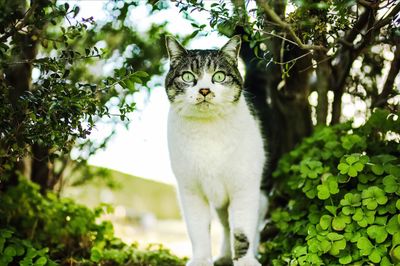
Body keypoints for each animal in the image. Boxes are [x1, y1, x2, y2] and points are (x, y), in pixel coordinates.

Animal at [164, 35, 268, 266]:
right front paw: (201, 260)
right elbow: (198, 230)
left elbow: (242, 230)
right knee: (226, 224)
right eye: (188, 76)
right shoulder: (190, 190)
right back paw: (225, 256)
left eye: (219, 76)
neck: (207, 131)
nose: (204, 90)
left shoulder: (244, 187)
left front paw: (245, 261)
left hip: (261, 195)